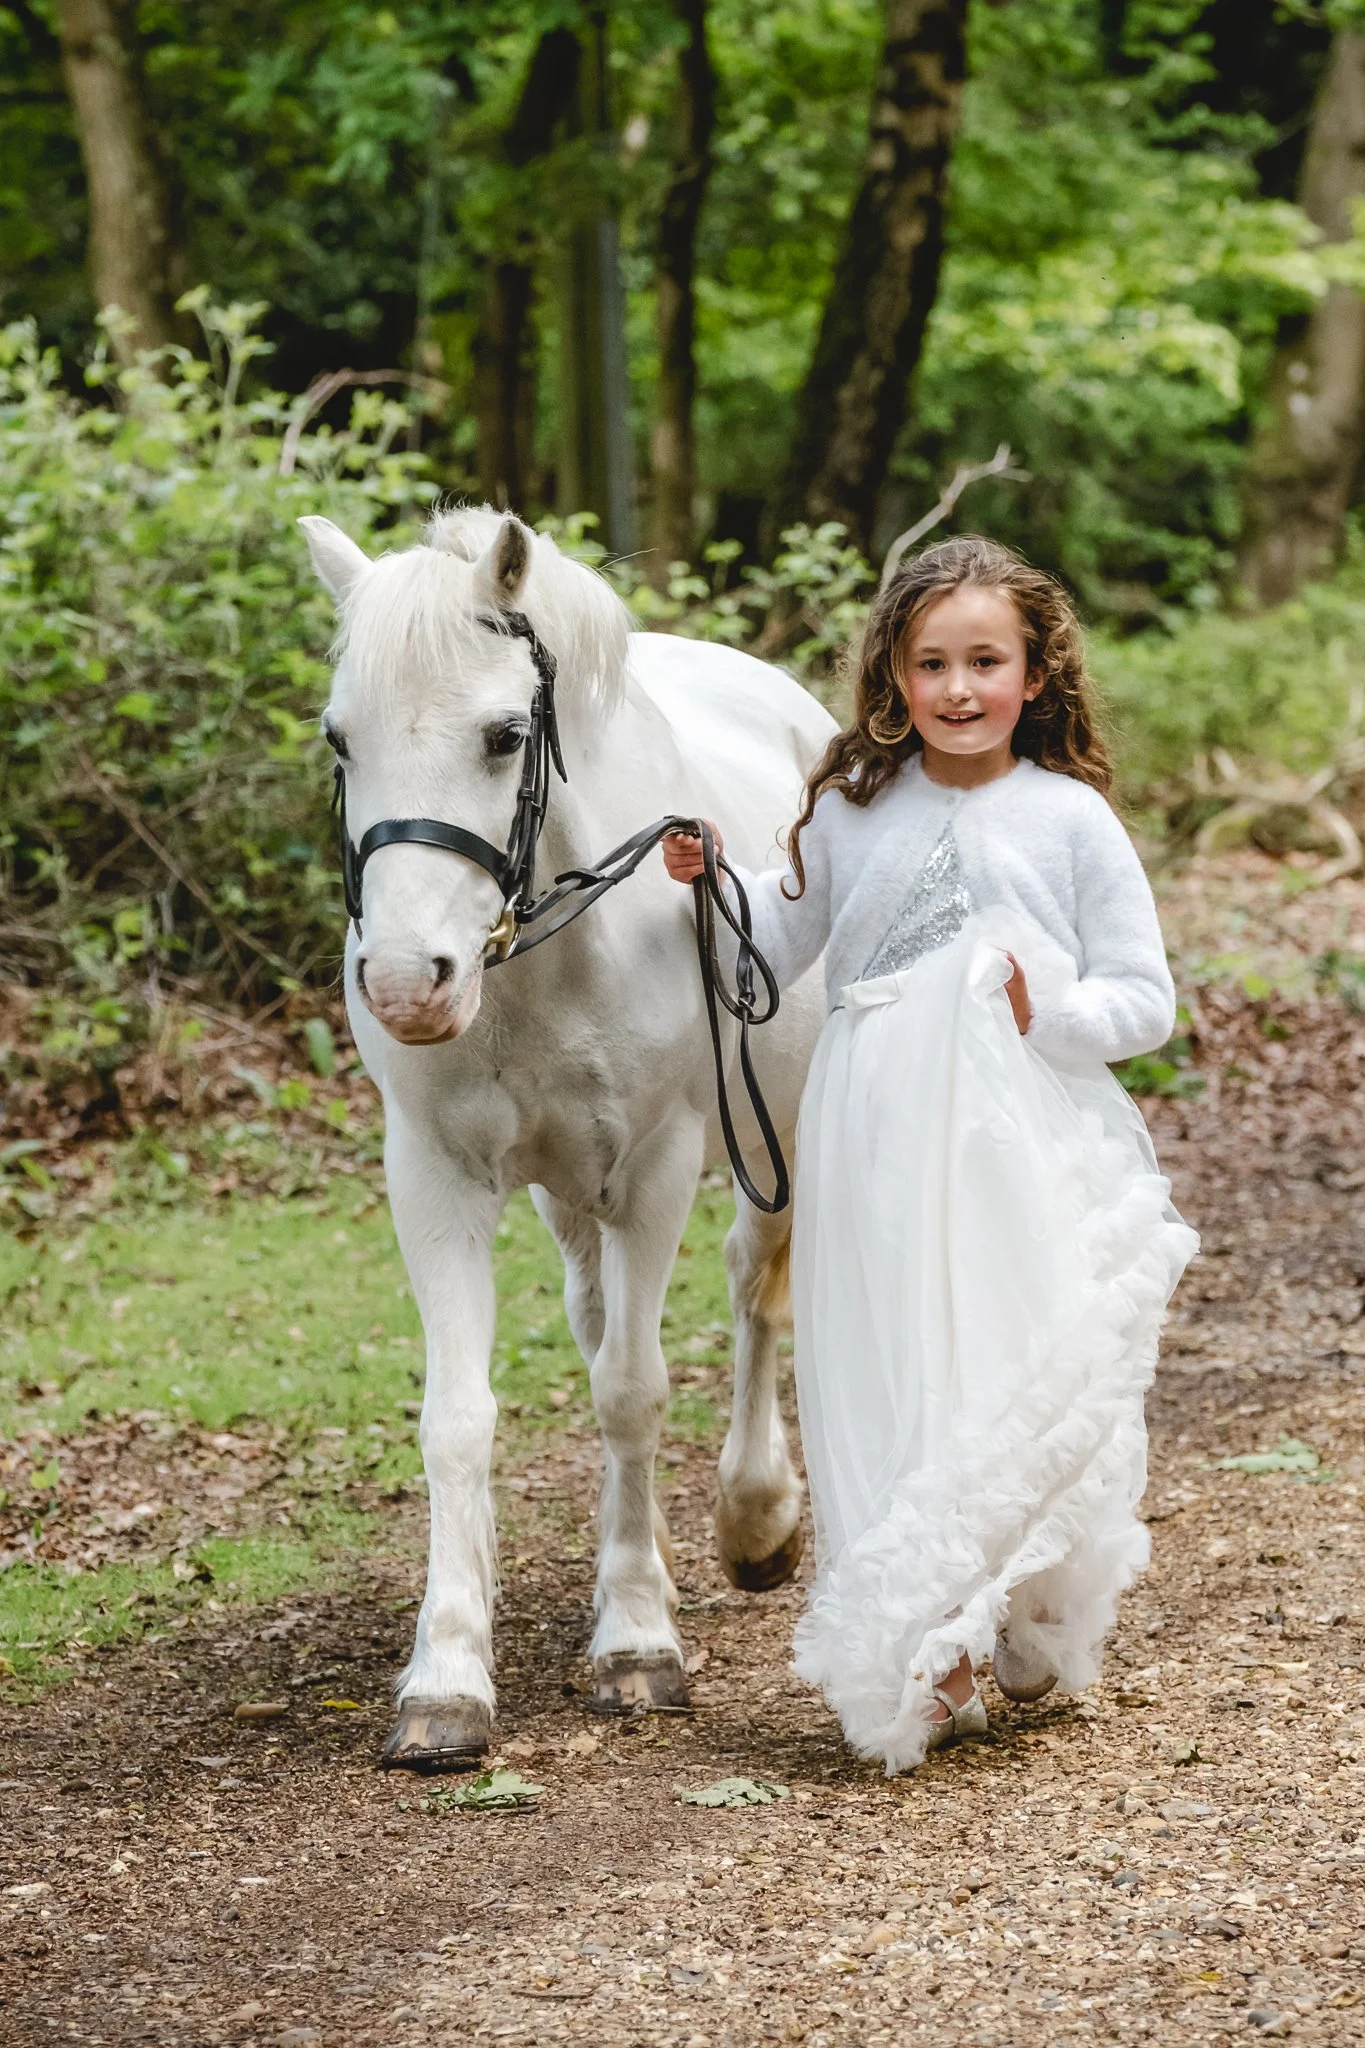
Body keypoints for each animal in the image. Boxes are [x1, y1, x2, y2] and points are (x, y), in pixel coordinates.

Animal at [301, 505, 834, 1768]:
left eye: (504, 736)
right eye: (341, 741)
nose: (406, 983)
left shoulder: (655, 1169)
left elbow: (633, 1391)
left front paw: (636, 1640)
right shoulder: (436, 1178)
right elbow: (459, 1418)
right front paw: (448, 1671)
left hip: (770, 1136)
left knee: (755, 1287)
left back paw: (754, 1517)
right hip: (565, 1194)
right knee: (600, 1317)